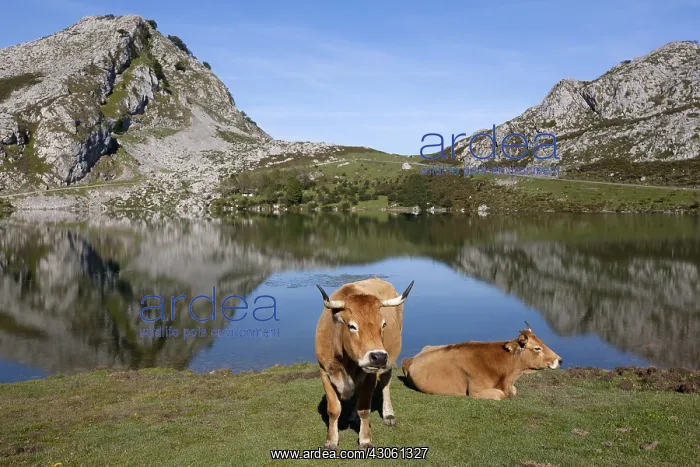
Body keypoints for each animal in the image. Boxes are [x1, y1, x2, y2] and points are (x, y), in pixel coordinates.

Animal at [314, 277, 415, 450]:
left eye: (383, 324)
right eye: (352, 326)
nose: (379, 356)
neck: (346, 363)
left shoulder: (371, 375)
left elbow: (364, 408)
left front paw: (365, 439)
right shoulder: (324, 371)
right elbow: (333, 410)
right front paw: (331, 441)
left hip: (390, 360)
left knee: (385, 383)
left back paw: (388, 414)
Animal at [401, 322, 562, 399]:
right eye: (537, 348)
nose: (559, 360)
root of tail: (409, 359)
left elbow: (514, 392)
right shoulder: (475, 391)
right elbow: (501, 395)